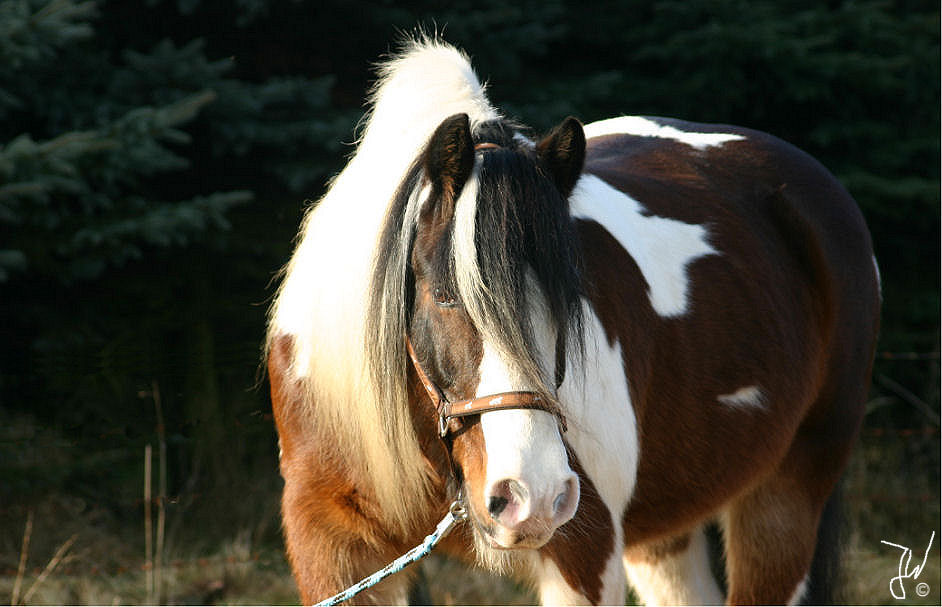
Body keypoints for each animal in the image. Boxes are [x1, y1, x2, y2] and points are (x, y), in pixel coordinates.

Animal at [268, 40, 884, 604]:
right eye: (444, 297)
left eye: (570, 299)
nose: (530, 495)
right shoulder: (334, 549)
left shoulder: (585, 551)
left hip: (785, 495)